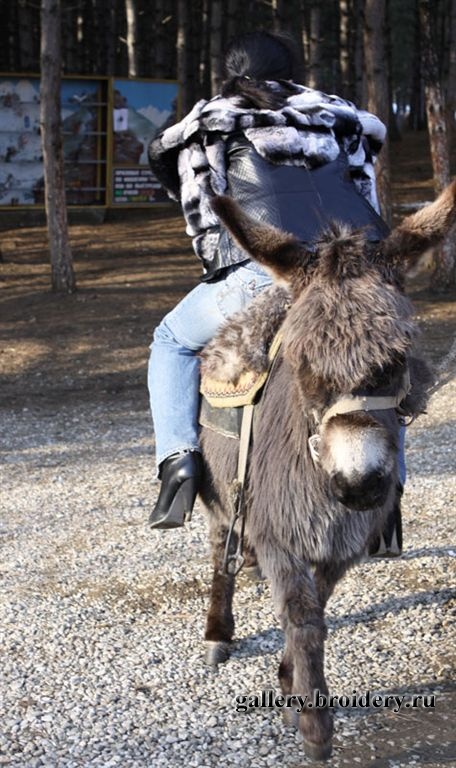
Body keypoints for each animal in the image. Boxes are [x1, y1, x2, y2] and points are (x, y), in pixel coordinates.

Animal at [196, 181, 456, 761]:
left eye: (399, 358)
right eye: (299, 361)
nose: (359, 486)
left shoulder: (344, 542)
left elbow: (319, 601)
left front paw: (290, 678)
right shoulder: (279, 534)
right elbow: (302, 615)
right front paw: (314, 725)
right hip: (221, 496)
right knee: (221, 552)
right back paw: (218, 633)